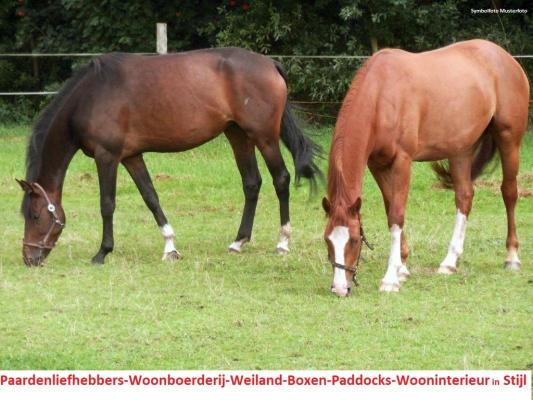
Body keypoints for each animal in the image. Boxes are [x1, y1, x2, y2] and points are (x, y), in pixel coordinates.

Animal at [17, 47, 320, 266]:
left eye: (35, 215)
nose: (29, 258)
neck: (91, 96)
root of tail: (271, 64)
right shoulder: (131, 156)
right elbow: (151, 197)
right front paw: (170, 247)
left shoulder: (107, 156)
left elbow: (107, 204)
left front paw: (103, 252)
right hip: (238, 135)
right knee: (252, 183)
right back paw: (238, 242)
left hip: (264, 137)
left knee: (281, 179)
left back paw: (282, 242)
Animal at [320, 40, 528, 296]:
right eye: (327, 240)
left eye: (354, 240)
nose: (340, 288)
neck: (382, 95)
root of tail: (506, 58)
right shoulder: (377, 165)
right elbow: (390, 209)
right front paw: (402, 267)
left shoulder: (402, 161)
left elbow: (397, 215)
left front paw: (390, 278)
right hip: (460, 150)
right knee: (464, 197)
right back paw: (449, 262)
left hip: (509, 140)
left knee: (509, 193)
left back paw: (512, 257)